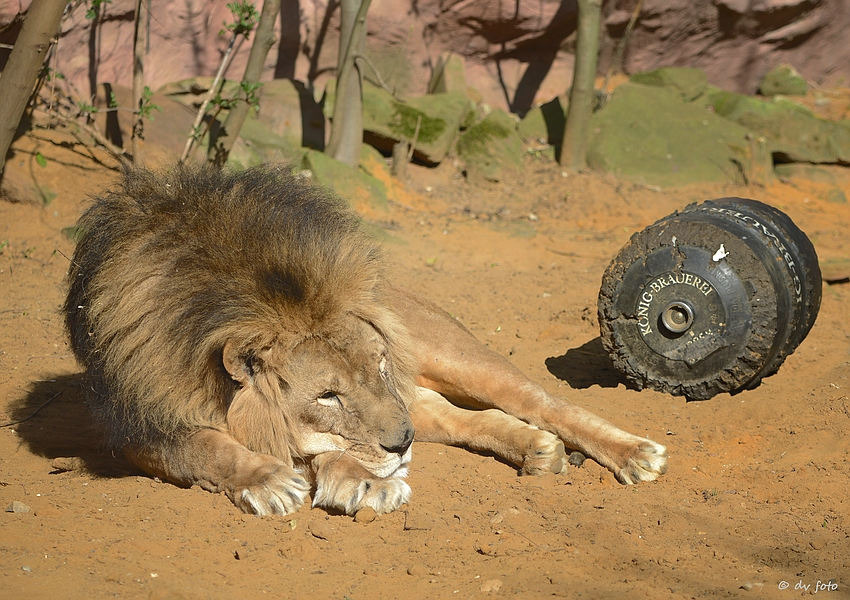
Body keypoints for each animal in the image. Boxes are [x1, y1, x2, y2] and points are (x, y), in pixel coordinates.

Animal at [63, 164, 664, 516]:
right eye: (328, 395)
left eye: (377, 365)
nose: (401, 442)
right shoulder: (135, 426)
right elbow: (208, 446)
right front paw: (270, 479)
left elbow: (328, 452)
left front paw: (363, 483)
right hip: (423, 401)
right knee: (453, 417)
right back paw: (535, 449)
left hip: (455, 358)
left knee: (543, 401)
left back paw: (635, 454)